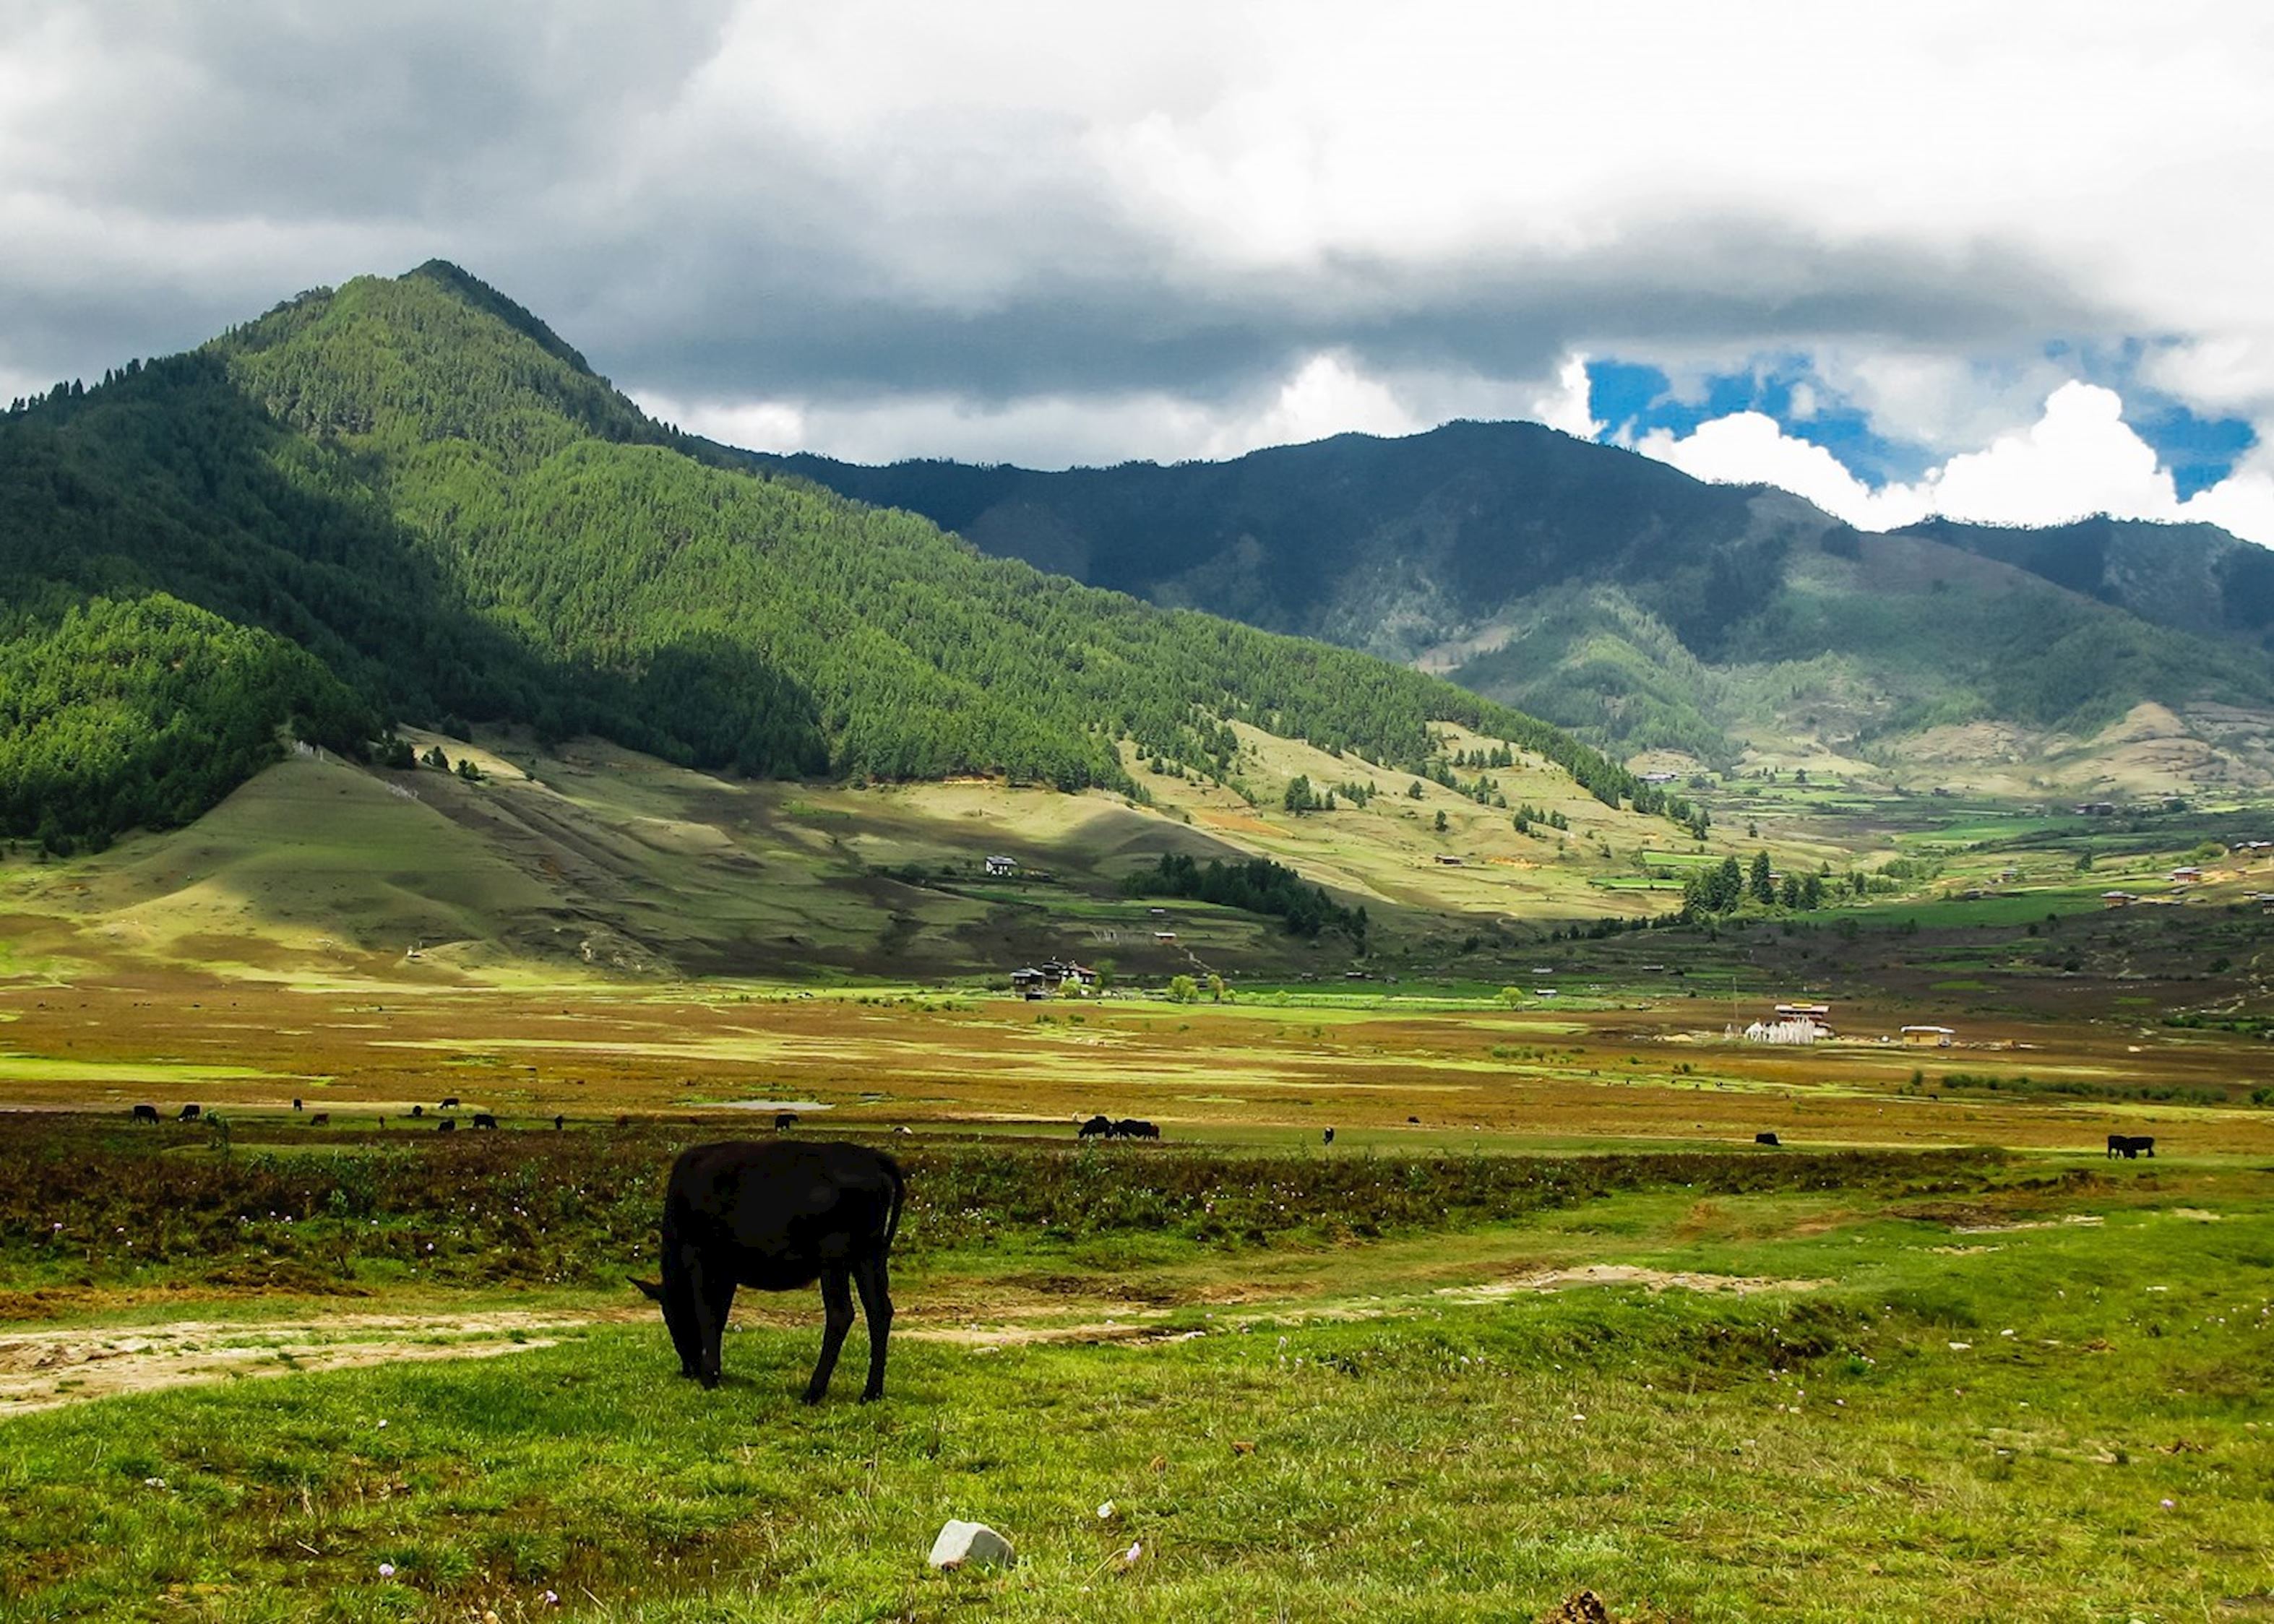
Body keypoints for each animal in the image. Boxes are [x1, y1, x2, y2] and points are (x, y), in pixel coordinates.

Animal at [632, 1132, 905, 1401]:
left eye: (670, 1318)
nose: (689, 1370)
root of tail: (870, 1157)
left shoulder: (697, 1256)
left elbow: (705, 1313)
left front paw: (709, 1377)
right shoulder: (726, 1270)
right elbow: (719, 1315)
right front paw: (715, 1372)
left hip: (834, 1256)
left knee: (841, 1313)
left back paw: (813, 1392)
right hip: (869, 1256)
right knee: (879, 1311)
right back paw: (871, 1392)